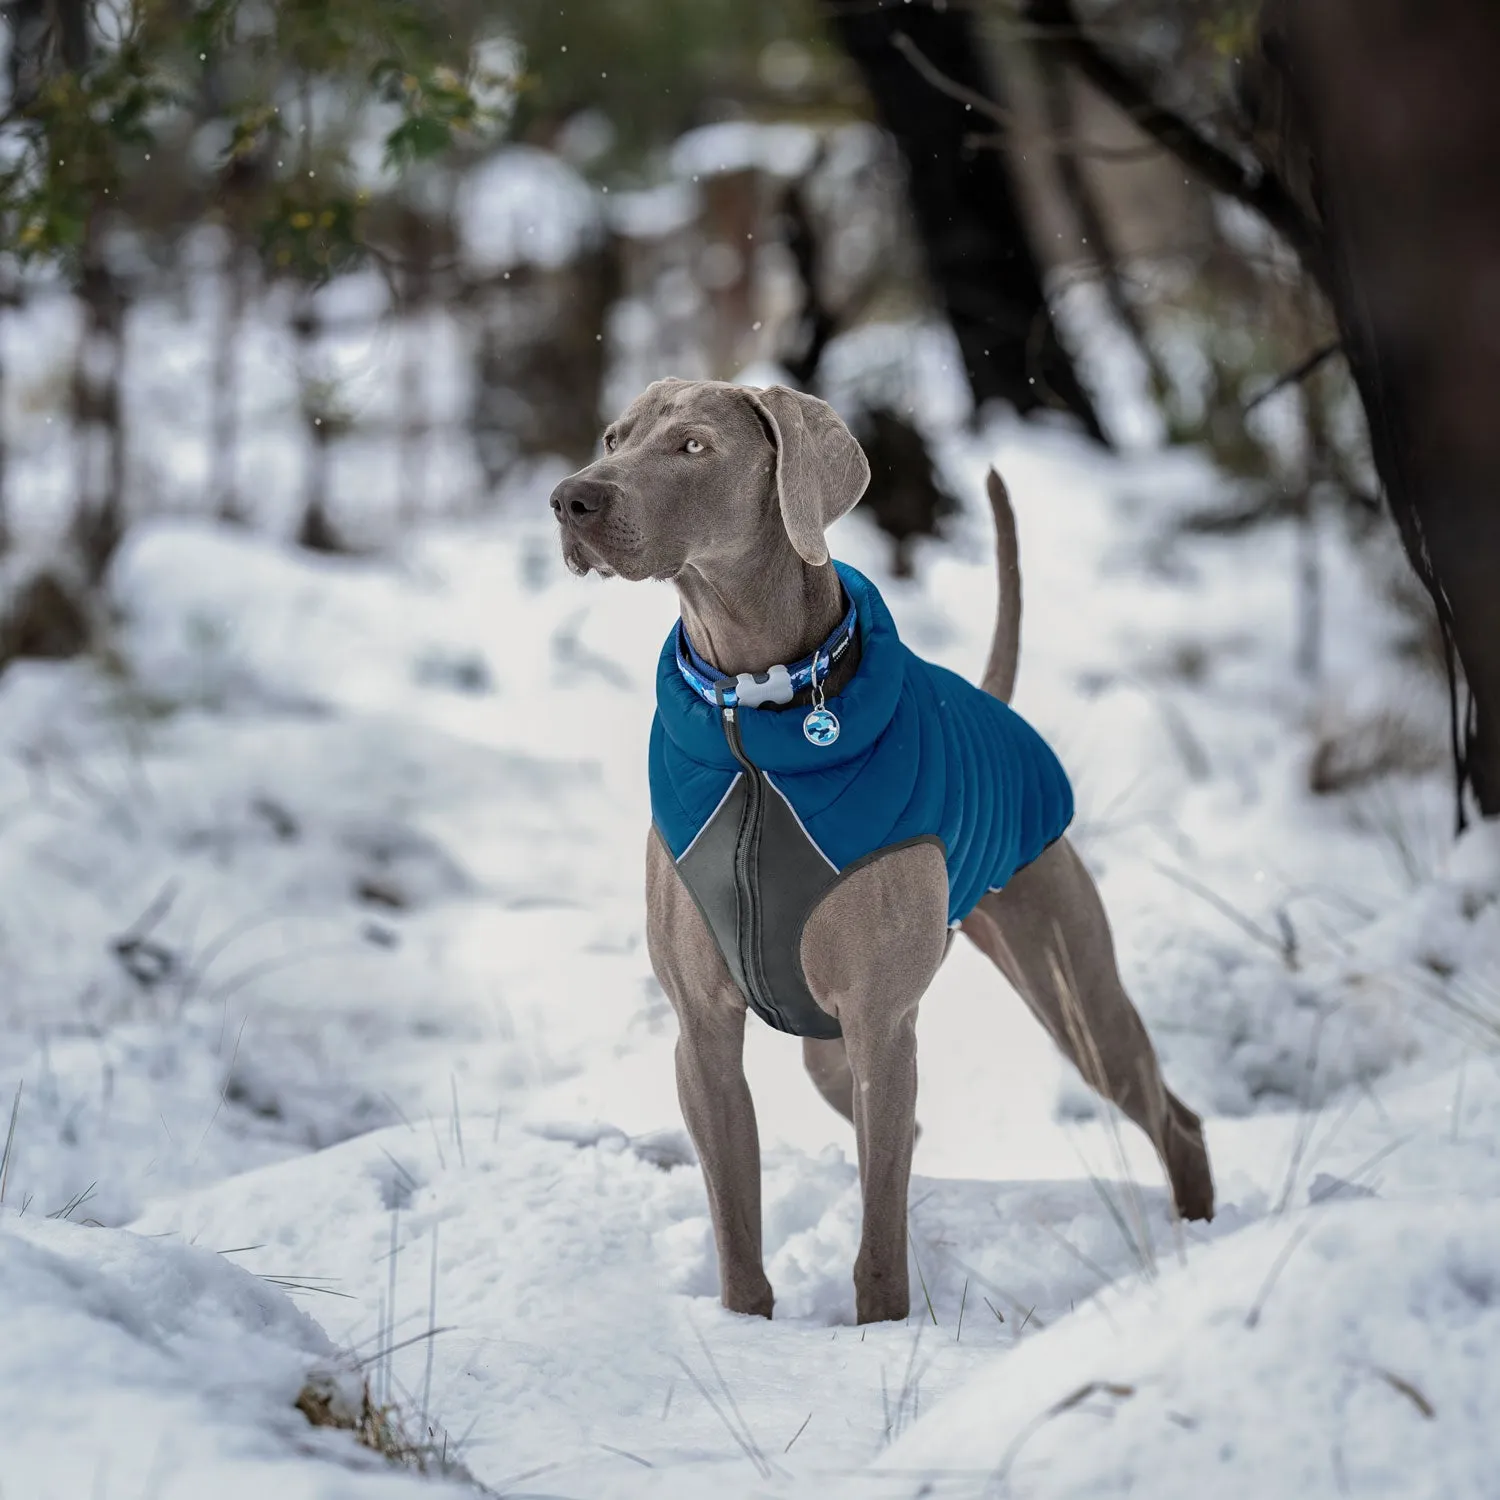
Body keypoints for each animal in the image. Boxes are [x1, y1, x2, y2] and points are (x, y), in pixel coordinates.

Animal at [552, 378, 1218, 1326]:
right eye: (615, 438)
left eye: (693, 447)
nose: (570, 498)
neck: (754, 720)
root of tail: (996, 703)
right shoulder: (704, 1034)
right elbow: (737, 1224)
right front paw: (745, 1328)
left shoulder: (880, 1020)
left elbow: (878, 1242)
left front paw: (880, 1332)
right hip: (834, 1050)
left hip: (1070, 989)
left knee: (1170, 1119)